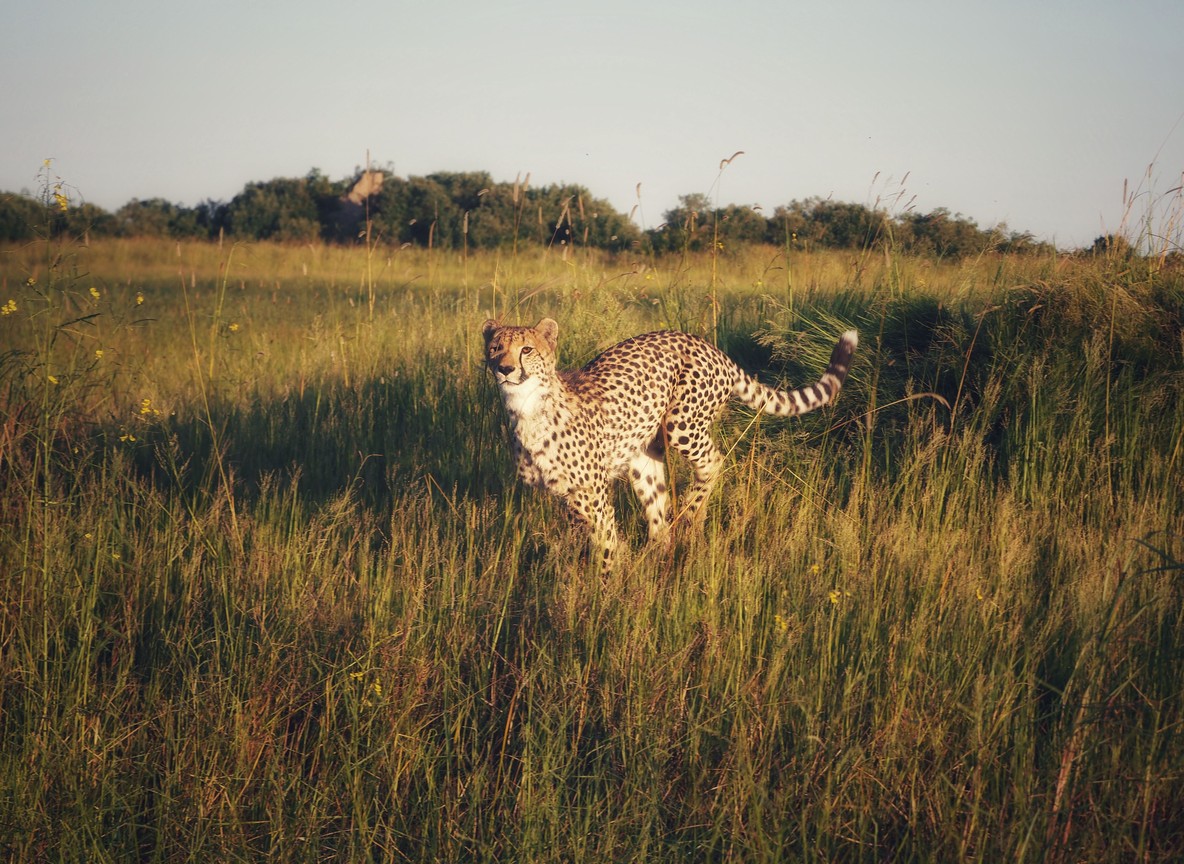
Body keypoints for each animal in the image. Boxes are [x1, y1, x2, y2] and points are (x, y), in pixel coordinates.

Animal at [482, 317, 858, 571]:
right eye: (495, 348)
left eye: (526, 349)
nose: (504, 368)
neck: (527, 408)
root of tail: (704, 343)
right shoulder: (567, 496)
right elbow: (595, 538)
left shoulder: (594, 495)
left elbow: (605, 545)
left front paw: (601, 599)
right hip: (644, 457)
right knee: (659, 519)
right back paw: (658, 555)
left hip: (682, 425)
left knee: (714, 461)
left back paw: (691, 513)